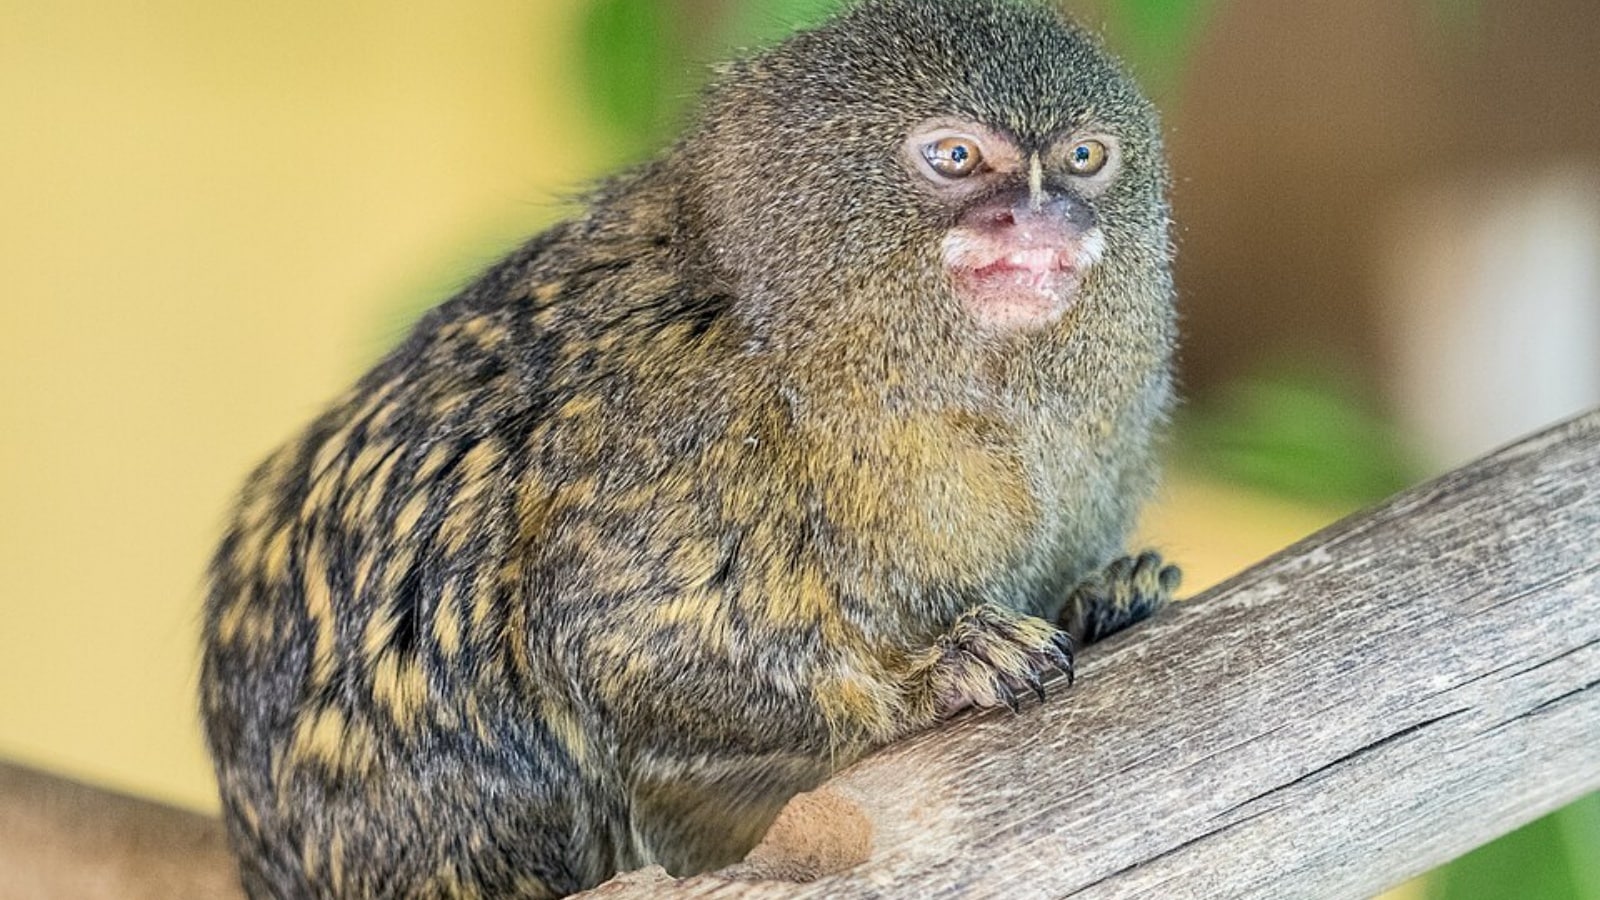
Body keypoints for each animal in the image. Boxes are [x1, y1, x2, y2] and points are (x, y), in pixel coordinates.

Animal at [199, 0, 1181, 896]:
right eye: (956, 158)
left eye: (1085, 159)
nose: (1047, 217)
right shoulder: (673, 426)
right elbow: (612, 642)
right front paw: (937, 672)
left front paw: (1104, 595)